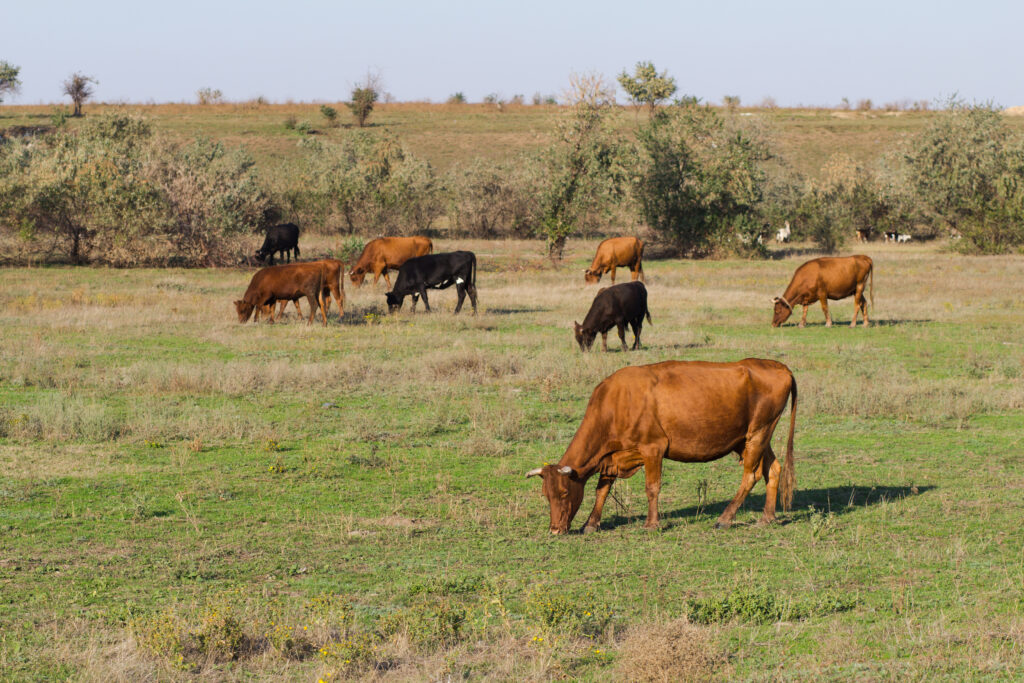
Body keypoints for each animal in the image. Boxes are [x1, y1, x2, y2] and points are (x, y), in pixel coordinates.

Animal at [528, 360, 798, 536]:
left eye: (564, 493)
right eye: (546, 495)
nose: (555, 530)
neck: (616, 402)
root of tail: (777, 366)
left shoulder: (653, 449)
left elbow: (652, 488)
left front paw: (652, 524)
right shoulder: (612, 456)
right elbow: (602, 490)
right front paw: (590, 524)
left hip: (758, 433)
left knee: (750, 475)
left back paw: (724, 519)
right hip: (753, 438)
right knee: (773, 469)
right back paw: (767, 517)